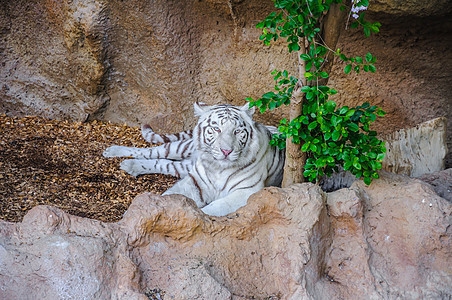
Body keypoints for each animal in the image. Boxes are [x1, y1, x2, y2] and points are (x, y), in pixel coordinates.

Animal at [104, 102, 284, 216]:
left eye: (237, 131)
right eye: (216, 129)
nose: (226, 151)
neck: (218, 168)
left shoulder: (246, 192)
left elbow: (214, 208)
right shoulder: (195, 182)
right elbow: (169, 195)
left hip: (182, 166)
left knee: (163, 163)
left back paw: (129, 165)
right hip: (181, 147)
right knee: (151, 152)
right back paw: (114, 152)